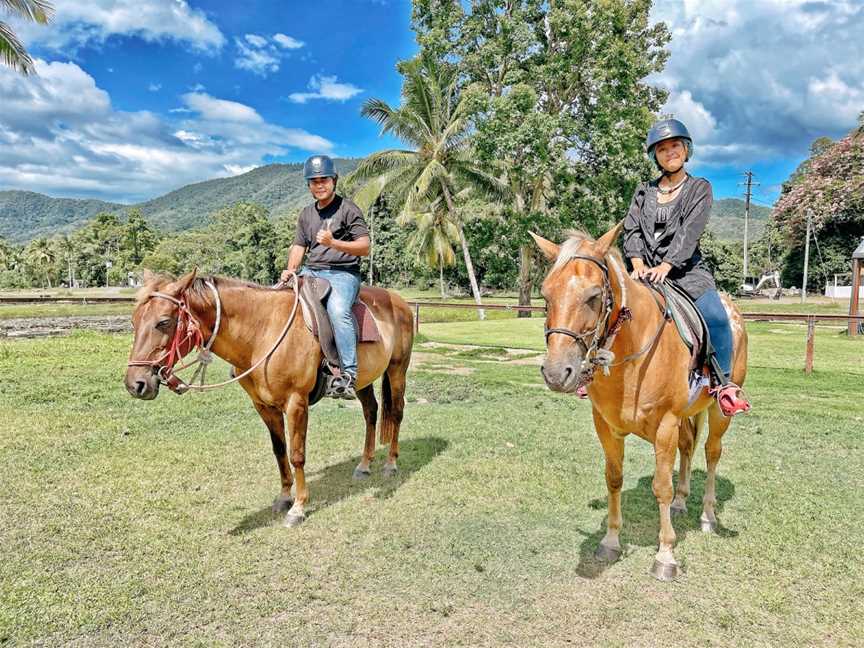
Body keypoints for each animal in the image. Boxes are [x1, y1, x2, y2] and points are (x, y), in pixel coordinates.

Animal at [124, 268, 416, 528]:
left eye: (164, 322)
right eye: (134, 321)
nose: (135, 384)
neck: (262, 332)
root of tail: (399, 301)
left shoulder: (296, 403)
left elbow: (297, 455)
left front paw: (298, 507)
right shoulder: (264, 406)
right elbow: (279, 451)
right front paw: (284, 497)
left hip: (397, 370)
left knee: (396, 412)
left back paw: (391, 464)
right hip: (364, 380)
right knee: (371, 412)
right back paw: (364, 465)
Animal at [528, 224, 744, 584]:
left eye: (593, 296)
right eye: (545, 296)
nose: (557, 373)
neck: (632, 354)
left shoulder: (666, 424)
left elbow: (661, 486)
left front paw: (666, 555)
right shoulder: (606, 426)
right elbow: (614, 479)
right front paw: (611, 541)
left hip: (718, 411)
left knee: (712, 454)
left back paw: (707, 516)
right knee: (688, 448)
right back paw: (682, 504)